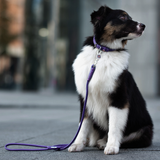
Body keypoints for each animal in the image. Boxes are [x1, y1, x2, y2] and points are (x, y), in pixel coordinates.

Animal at [68, 5, 153, 154]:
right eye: (123, 17)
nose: (143, 25)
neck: (104, 51)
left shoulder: (118, 98)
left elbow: (113, 127)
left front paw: (112, 146)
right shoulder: (85, 98)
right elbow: (82, 125)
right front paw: (77, 144)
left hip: (144, 130)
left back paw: (103, 142)